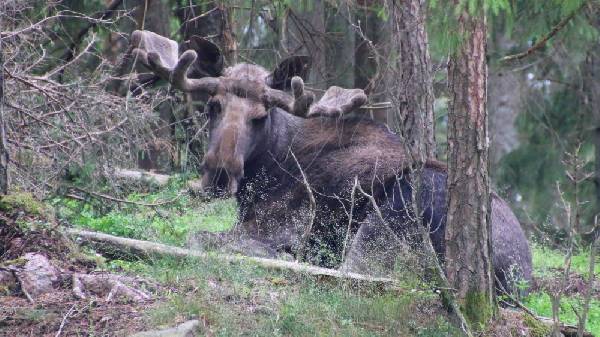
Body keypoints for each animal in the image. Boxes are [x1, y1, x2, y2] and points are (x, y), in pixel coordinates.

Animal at [129, 29, 532, 292]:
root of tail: (519, 276)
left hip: (388, 221)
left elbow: (198, 236)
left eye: (260, 116)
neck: (271, 164)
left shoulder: (279, 226)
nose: (219, 175)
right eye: (213, 106)